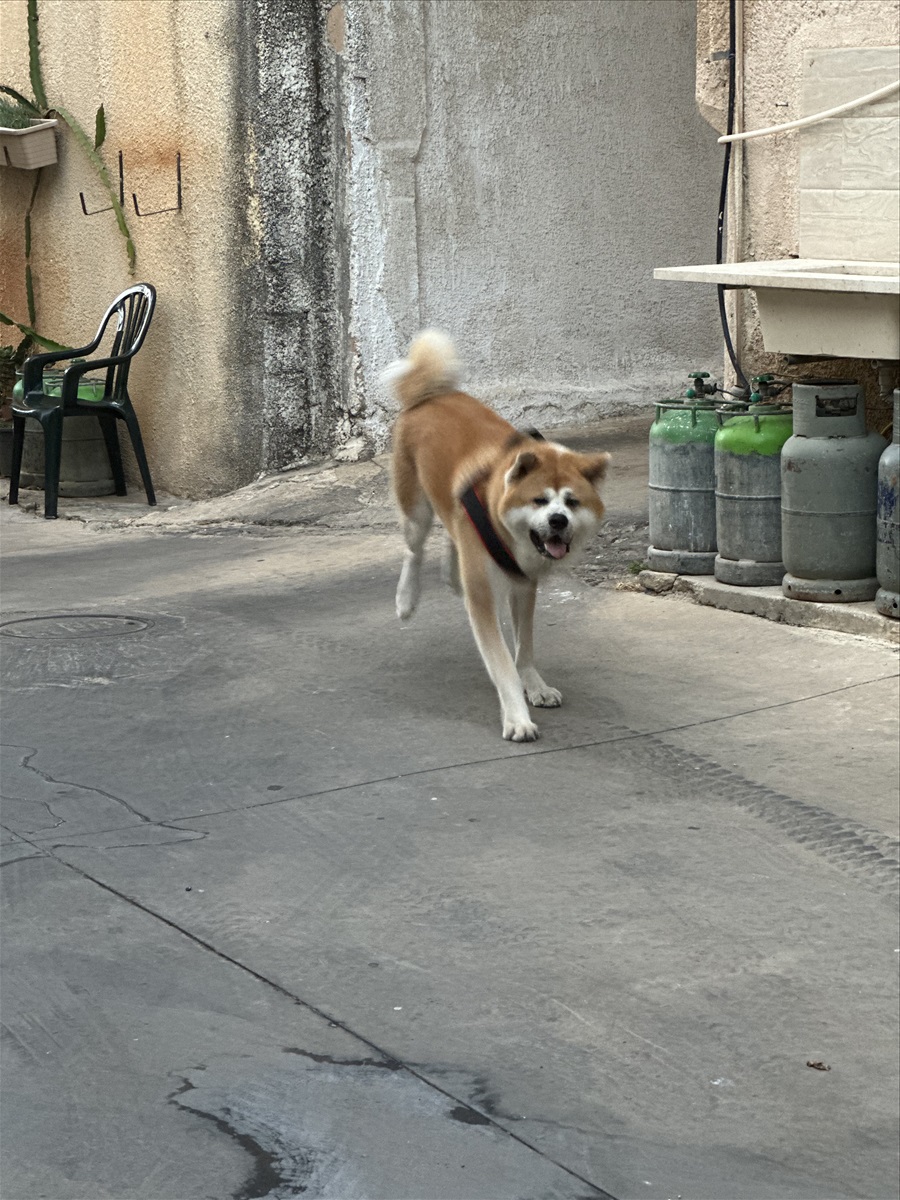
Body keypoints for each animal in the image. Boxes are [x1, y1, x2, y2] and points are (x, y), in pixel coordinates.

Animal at [388, 328, 614, 739]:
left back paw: (450, 572)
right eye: (540, 500)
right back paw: (406, 598)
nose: (558, 521)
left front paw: (535, 685)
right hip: (415, 512)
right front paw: (517, 716)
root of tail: (429, 396)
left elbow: (524, 648)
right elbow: (503, 663)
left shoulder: (524, 586)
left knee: (451, 530)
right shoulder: (483, 597)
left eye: (571, 503)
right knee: (414, 549)